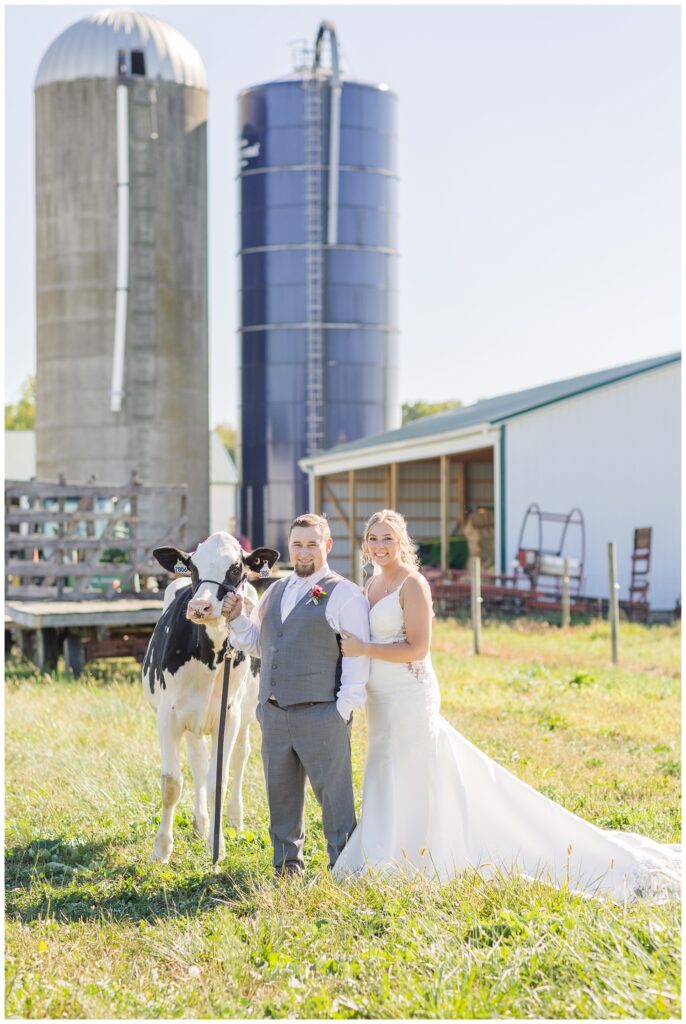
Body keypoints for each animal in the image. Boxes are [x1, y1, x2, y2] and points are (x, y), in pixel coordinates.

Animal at [143, 532, 278, 860]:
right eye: (193, 566)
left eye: (236, 568)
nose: (200, 607)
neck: (209, 656)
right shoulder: (168, 715)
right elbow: (172, 783)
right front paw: (161, 849)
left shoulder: (228, 716)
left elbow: (220, 780)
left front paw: (217, 848)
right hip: (193, 720)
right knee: (198, 763)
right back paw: (200, 823)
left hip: (244, 714)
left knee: (240, 757)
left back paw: (234, 820)